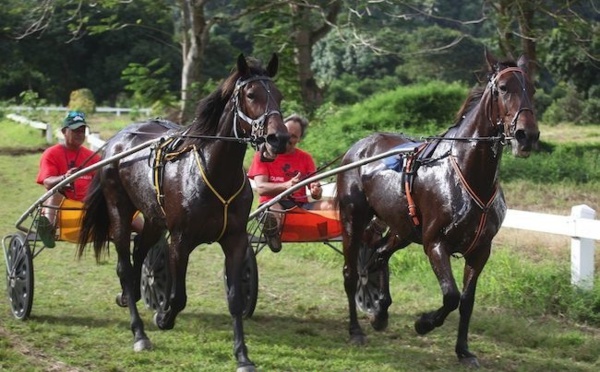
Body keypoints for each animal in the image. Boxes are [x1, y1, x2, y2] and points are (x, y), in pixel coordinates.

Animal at [78, 53, 290, 370]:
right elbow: (178, 297)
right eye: (252, 94)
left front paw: (242, 355)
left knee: (139, 253)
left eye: (278, 95)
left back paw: (131, 296)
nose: (279, 138)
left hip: (154, 218)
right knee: (125, 266)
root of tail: (119, 137)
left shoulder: (235, 240)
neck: (215, 174)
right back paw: (139, 332)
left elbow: (235, 299)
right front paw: (163, 316)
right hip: (119, 210)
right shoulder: (181, 239)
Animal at [338, 50, 540, 368]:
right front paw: (423, 323)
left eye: (531, 88)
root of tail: (358, 147)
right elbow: (451, 296)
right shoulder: (435, 243)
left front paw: (463, 350)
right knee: (351, 272)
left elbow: (467, 302)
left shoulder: (480, 250)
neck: (466, 171)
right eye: (504, 88)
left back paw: (381, 310)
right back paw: (356, 329)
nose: (526, 135)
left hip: (402, 229)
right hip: (353, 219)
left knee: (379, 255)